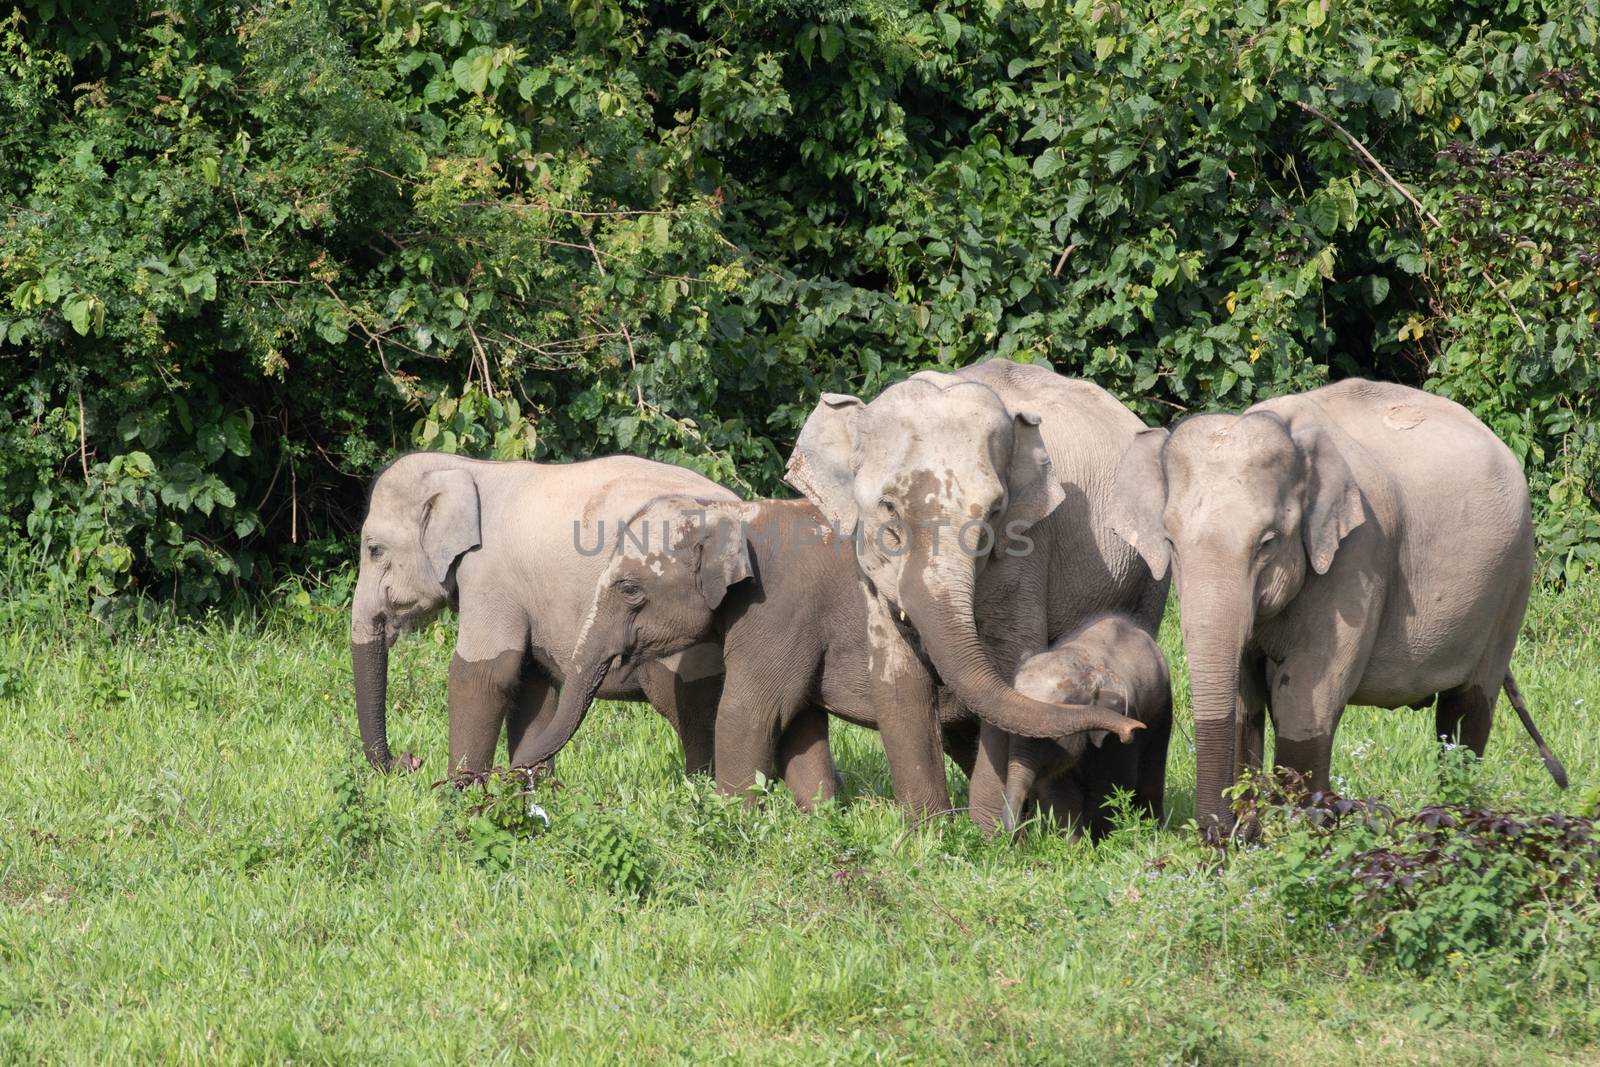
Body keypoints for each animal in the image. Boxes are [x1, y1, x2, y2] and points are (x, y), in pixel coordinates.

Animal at [350, 451, 736, 777]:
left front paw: (459, 799)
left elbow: (483, 674)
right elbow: (532, 685)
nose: (410, 760)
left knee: (687, 705)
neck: (470, 468)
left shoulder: (491, 576)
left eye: (374, 550)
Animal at [998, 620, 1177, 838]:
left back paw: (1154, 832)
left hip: (1162, 706)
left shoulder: (1123, 719)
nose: (1017, 835)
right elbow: (1058, 792)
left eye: (1052, 737)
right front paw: (1075, 844)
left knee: (1151, 775)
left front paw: (1099, 841)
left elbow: (1111, 785)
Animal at [1107, 379, 1568, 838]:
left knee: (1467, 708)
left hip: (1512, 581)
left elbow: (1305, 691)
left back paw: (1455, 816)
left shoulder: (1358, 556)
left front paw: (1296, 829)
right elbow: (1244, 697)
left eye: (1267, 542)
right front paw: (1251, 832)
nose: (1216, 833)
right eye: (1170, 541)